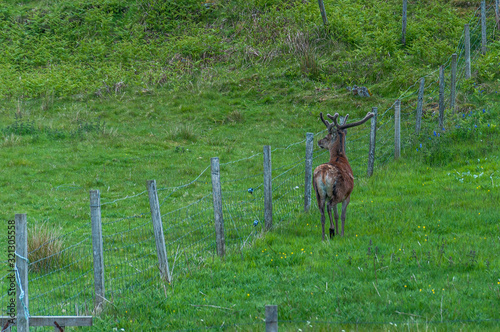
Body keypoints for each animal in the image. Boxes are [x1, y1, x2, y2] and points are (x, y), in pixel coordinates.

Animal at [312, 112, 376, 241]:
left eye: (326, 136)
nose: (319, 142)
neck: (340, 157)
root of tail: (323, 173)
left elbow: (336, 215)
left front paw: (337, 232)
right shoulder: (347, 195)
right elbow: (342, 215)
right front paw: (341, 233)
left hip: (319, 193)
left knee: (322, 211)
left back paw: (323, 236)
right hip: (338, 192)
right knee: (329, 206)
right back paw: (331, 230)